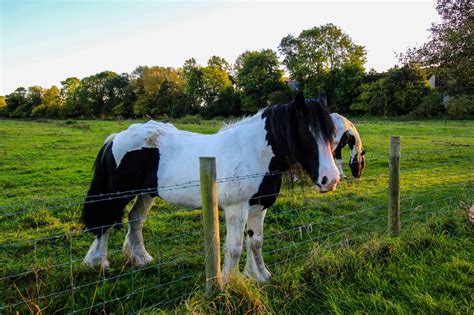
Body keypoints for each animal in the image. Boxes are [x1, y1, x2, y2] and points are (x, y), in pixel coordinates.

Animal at [82, 92, 340, 282]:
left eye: (331, 133)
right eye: (305, 132)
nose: (330, 179)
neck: (253, 151)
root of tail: (117, 137)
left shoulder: (259, 207)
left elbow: (256, 242)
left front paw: (259, 275)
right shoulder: (236, 209)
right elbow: (234, 247)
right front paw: (228, 281)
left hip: (146, 194)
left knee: (135, 219)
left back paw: (141, 258)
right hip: (117, 194)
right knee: (104, 223)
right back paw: (98, 263)